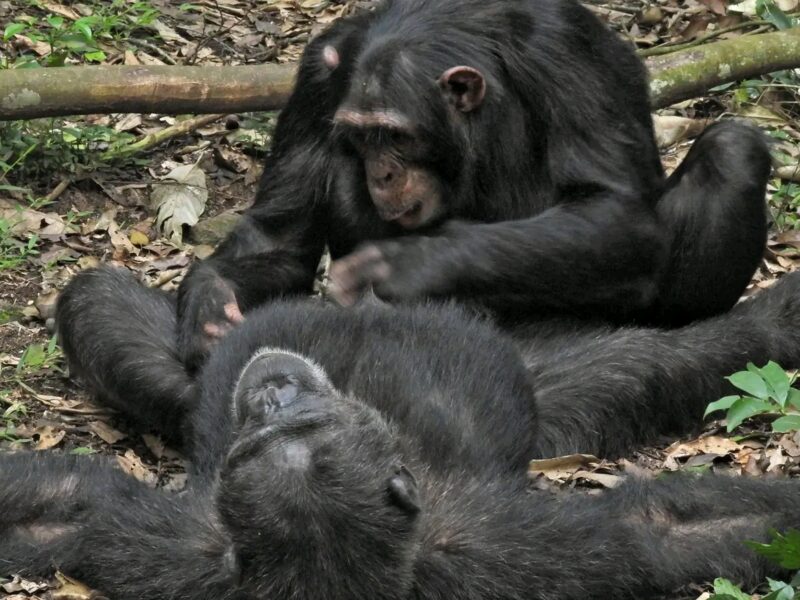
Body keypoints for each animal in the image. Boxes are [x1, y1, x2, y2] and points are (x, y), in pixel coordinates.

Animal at [1, 268, 800, 600]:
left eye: (309, 424)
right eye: (254, 444)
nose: (274, 394)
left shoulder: (528, 552)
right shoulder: (159, 546)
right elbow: (657, 528)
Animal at [178, 0, 772, 368]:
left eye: (394, 136)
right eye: (360, 137)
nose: (381, 172)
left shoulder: (568, 58)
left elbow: (614, 210)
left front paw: (407, 265)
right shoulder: (315, 75)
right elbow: (279, 237)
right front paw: (208, 308)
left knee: (732, 150)